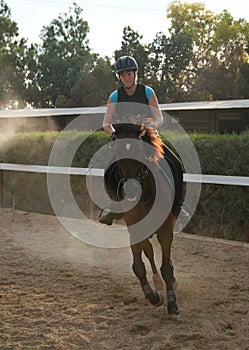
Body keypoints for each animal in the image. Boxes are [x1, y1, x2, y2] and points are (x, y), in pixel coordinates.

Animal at [104, 121, 179, 316]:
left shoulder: (165, 229)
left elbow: (167, 267)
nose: (131, 191)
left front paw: (172, 302)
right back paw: (157, 282)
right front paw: (153, 296)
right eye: (117, 152)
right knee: (149, 252)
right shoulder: (134, 227)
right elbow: (138, 266)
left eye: (138, 150)